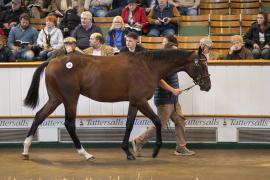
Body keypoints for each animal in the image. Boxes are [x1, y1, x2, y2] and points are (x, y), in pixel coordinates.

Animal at [21, 48, 211, 161]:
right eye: (201, 65)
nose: (207, 86)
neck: (148, 66)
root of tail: (53, 61)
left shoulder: (134, 102)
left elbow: (129, 124)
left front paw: (128, 152)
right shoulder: (141, 100)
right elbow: (157, 121)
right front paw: (155, 150)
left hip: (56, 99)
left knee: (39, 116)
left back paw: (26, 150)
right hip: (70, 99)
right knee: (69, 124)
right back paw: (85, 153)